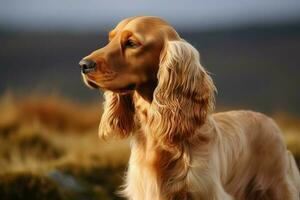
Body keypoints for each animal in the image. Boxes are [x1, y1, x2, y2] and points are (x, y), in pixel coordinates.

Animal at [78, 16, 298, 200]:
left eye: (132, 43)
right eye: (110, 39)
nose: (83, 65)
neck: (157, 131)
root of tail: (269, 121)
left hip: (278, 186)